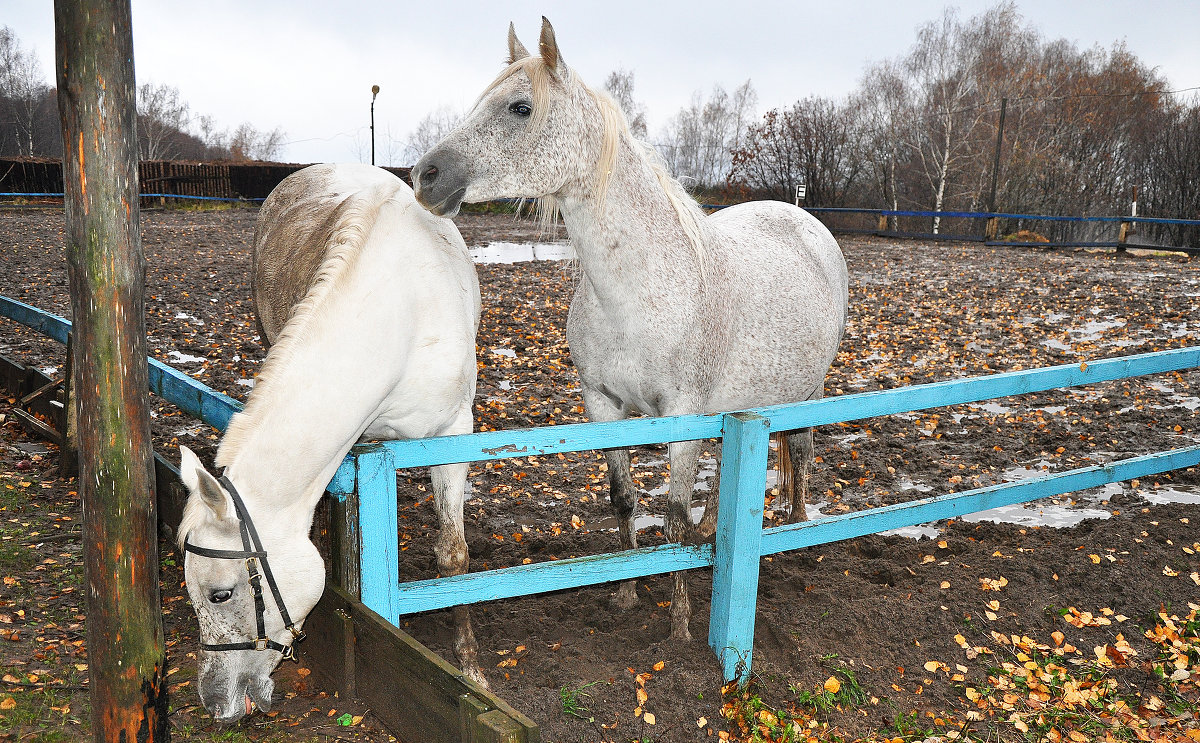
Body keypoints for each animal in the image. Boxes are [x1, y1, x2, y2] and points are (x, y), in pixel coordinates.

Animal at [175, 163, 482, 720]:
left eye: (220, 595)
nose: (215, 702)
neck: (399, 311)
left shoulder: (454, 434)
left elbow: (454, 556)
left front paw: (470, 670)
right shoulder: (356, 448)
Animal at [412, 20, 844, 643]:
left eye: (520, 107)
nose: (425, 176)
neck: (644, 293)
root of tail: (804, 220)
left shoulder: (683, 417)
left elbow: (674, 519)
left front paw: (681, 625)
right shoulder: (604, 406)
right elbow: (624, 500)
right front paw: (625, 592)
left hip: (805, 394)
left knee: (803, 455)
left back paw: (797, 535)